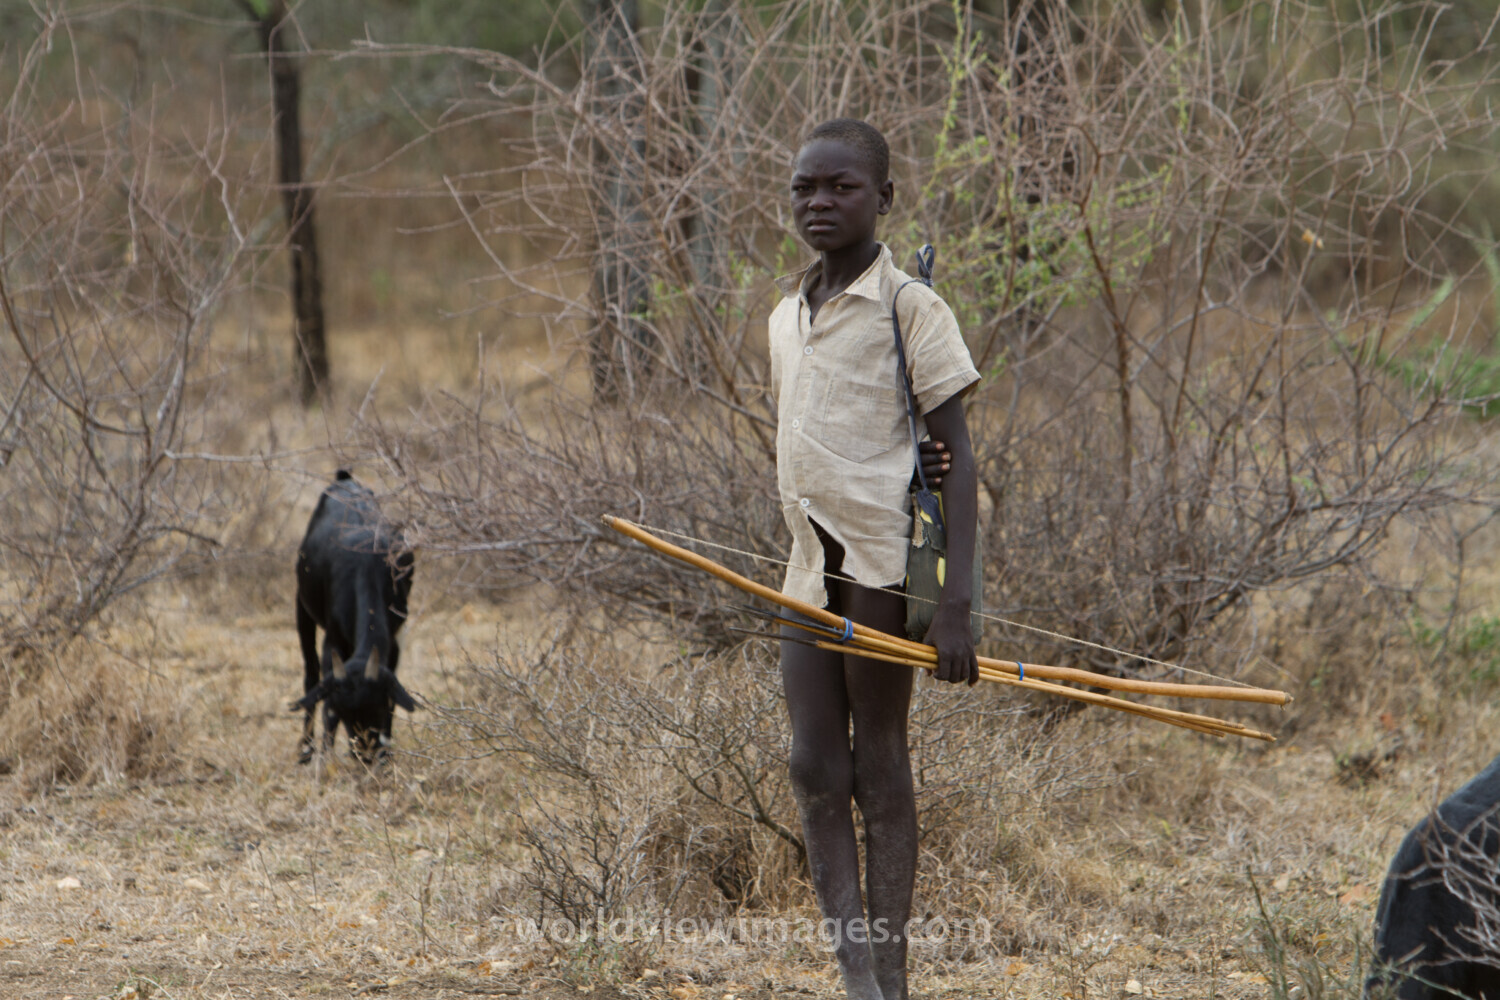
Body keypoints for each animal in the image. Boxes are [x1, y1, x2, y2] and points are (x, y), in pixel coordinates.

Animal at [293, 470, 416, 763]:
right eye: (344, 713)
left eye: (378, 706)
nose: (366, 755)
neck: (365, 566)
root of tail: (344, 478)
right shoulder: (332, 643)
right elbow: (324, 704)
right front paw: (325, 759)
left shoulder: (393, 645)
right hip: (301, 606)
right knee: (310, 674)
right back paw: (306, 749)